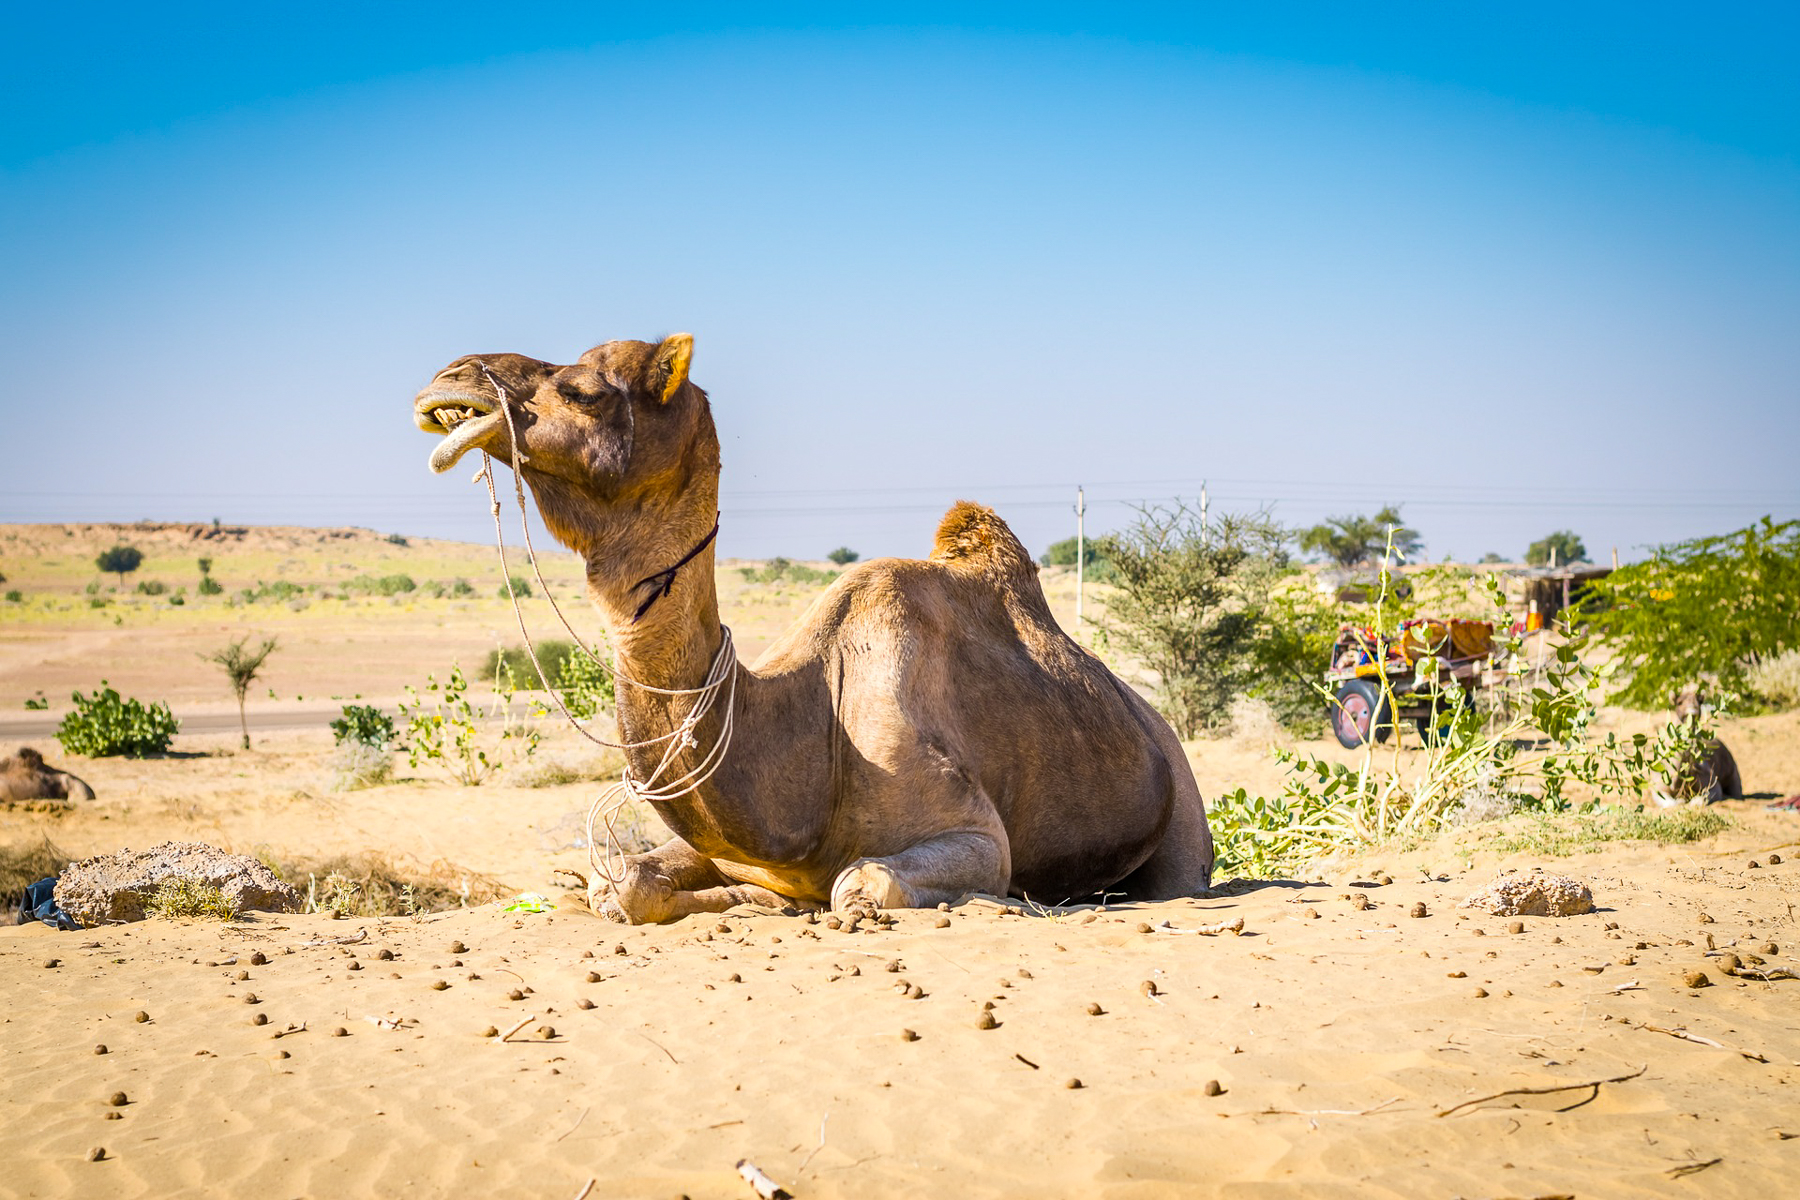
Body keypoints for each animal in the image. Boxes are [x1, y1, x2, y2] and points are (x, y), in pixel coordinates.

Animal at [413, 334, 1213, 922]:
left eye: (582, 390)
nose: (450, 382)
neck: (807, 722)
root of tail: (1155, 724)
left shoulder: (979, 836)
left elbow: (859, 884)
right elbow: (621, 883)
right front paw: (733, 897)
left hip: (1184, 815)